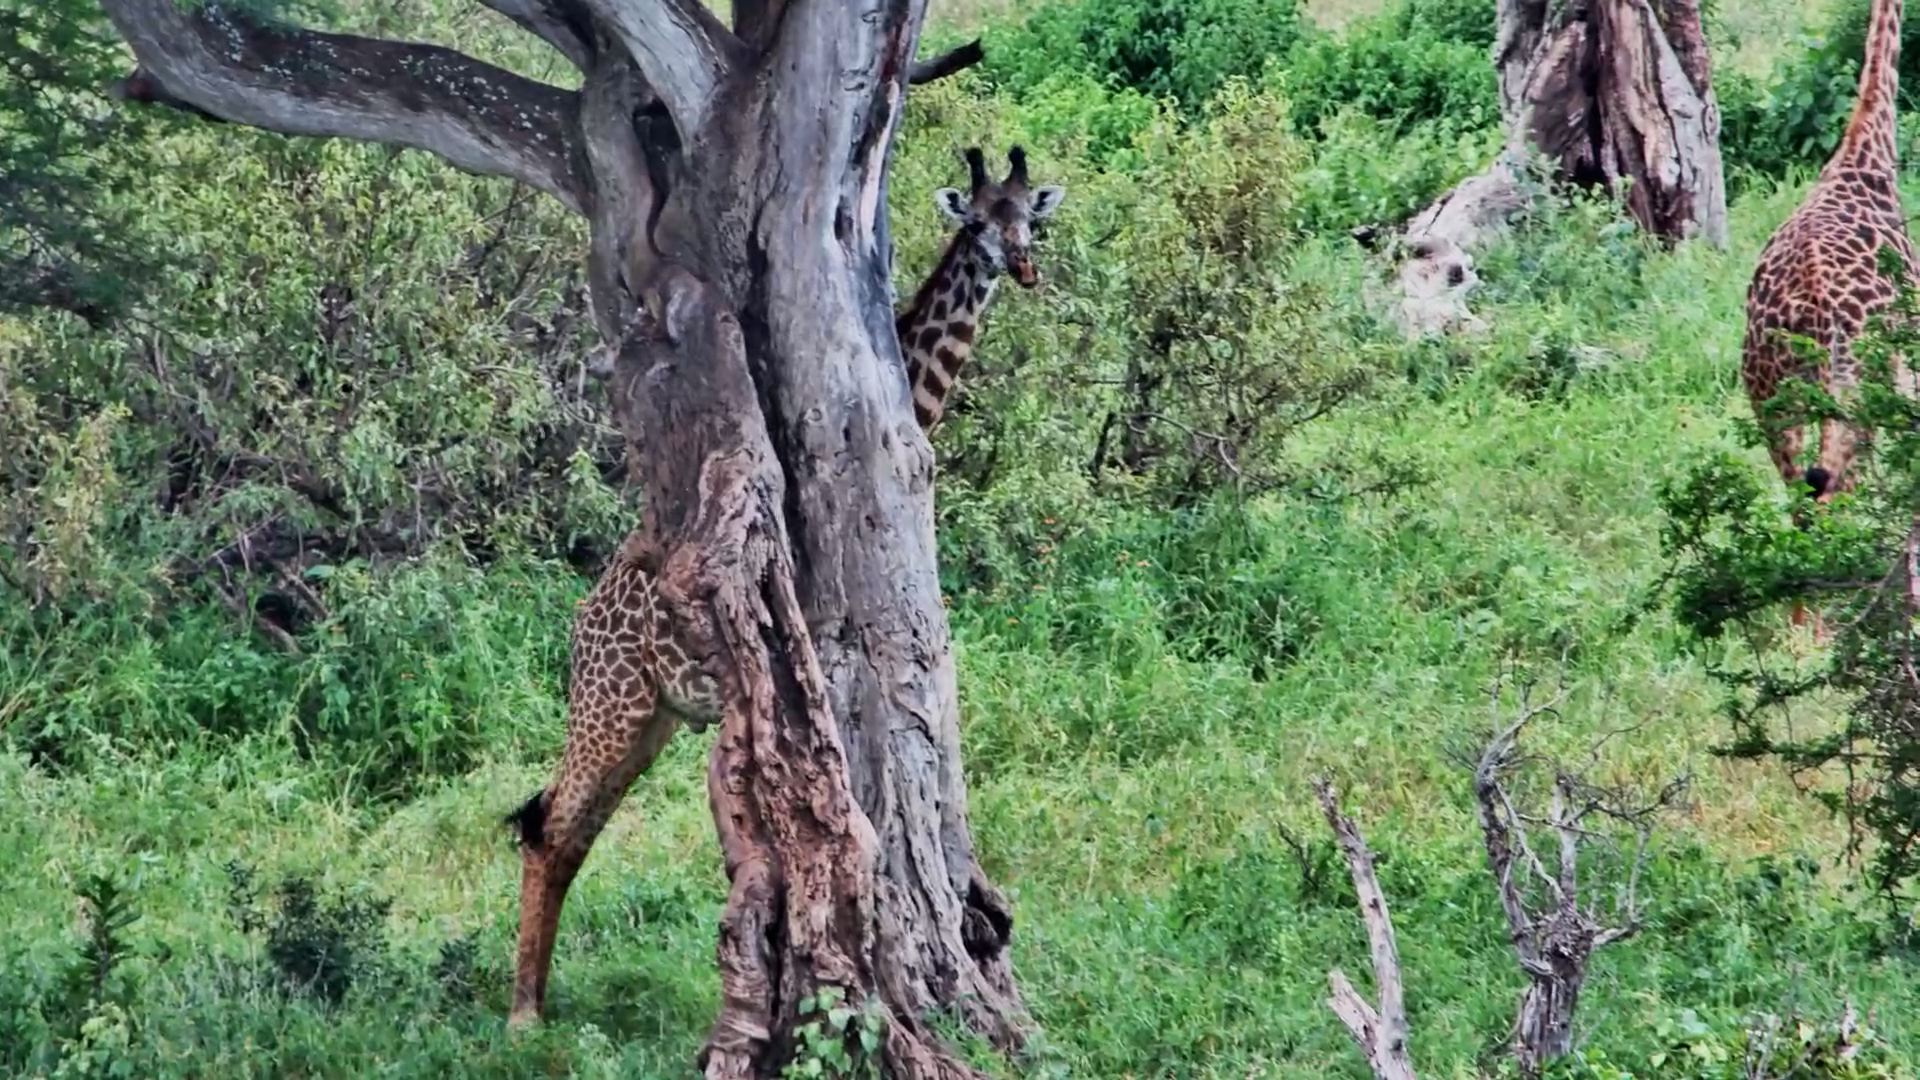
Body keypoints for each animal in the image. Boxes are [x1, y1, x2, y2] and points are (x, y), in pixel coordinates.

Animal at [502, 146, 1065, 1029]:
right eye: (974, 221)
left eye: (1028, 219)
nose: (1024, 267)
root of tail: (581, 626)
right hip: (611, 705)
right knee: (548, 829)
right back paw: (523, 1014)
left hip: (653, 718)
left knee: (567, 830)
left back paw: (541, 1002)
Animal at [1740, 0, 1915, 636]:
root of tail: (1812, 309)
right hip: (1854, 397)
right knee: (1832, 497)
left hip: (1771, 396)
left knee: (1801, 501)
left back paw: (1802, 634)